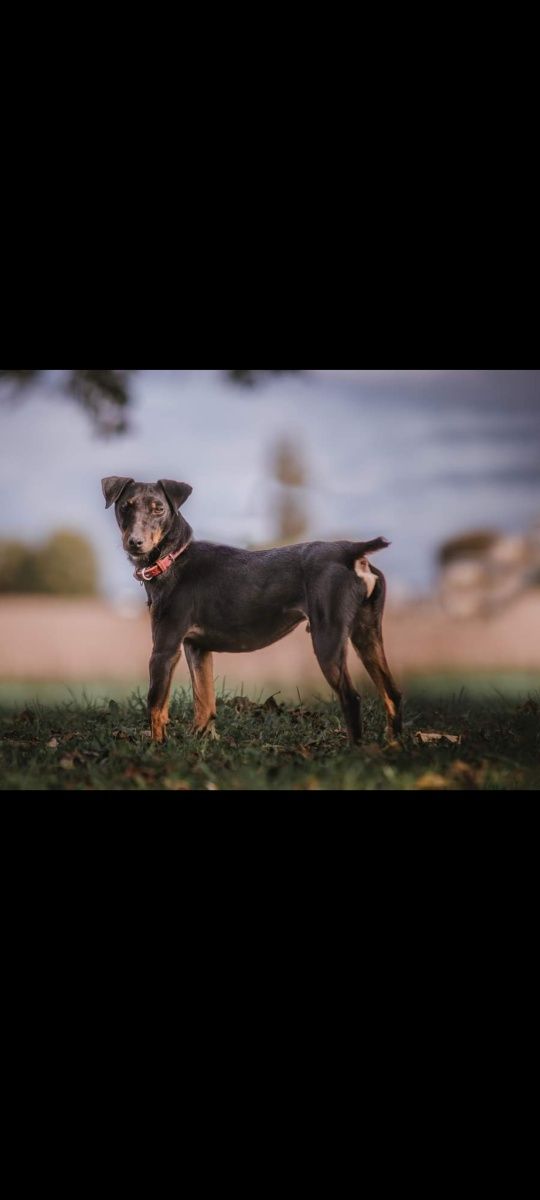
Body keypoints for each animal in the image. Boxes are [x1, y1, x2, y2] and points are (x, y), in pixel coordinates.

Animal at [103, 475, 403, 739]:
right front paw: (200, 743)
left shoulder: (165, 649)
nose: (135, 542)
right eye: (125, 506)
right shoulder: (196, 648)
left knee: (351, 698)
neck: (174, 558)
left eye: (159, 509)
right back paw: (393, 746)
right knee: (392, 693)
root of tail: (351, 552)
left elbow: (156, 706)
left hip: (328, 638)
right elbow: (204, 702)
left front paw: (158, 749)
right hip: (367, 634)